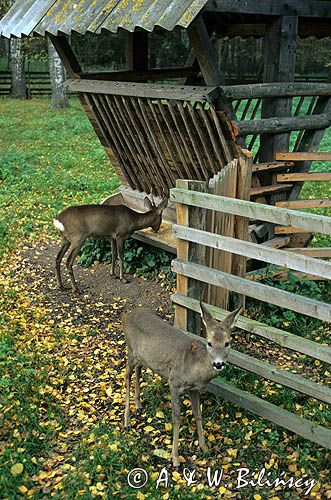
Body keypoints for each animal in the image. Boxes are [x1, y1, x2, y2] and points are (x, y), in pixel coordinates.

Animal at [123, 302, 243, 466]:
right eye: (209, 343)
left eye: (227, 343)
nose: (218, 364)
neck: (193, 368)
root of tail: (128, 314)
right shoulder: (173, 382)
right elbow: (176, 419)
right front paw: (174, 457)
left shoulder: (194, 389)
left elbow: (198, 414)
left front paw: (204, 447)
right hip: (130, 350)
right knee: (126, 374)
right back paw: (127, 421)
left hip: (142, 357)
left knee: (138, 369)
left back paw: (139, 404)